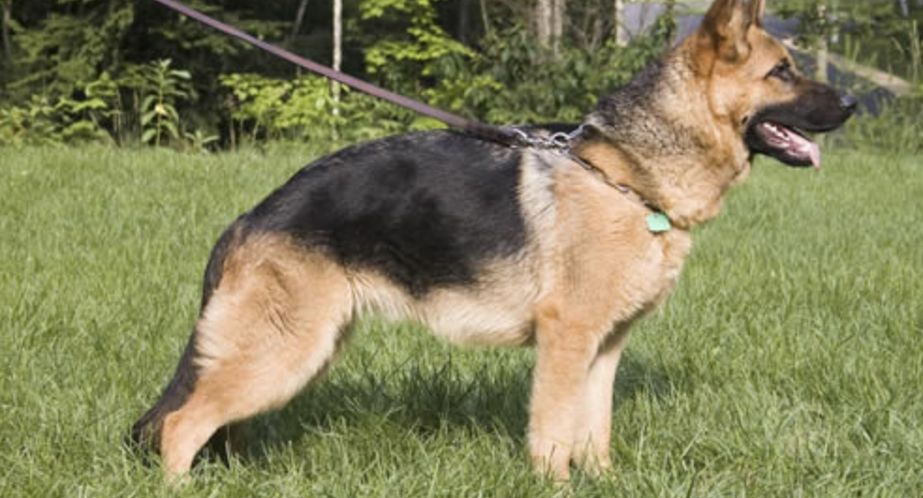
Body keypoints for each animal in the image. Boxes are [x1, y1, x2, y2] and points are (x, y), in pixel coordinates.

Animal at [131, 0, 856, 481]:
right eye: (782, 72)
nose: (850, 106)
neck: (626, 176)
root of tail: (248, 218)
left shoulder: (603, 349)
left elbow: (594, 432)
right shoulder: (565, 341)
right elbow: (554, 432)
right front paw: (556, 487)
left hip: (298, 349)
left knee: (214, 421)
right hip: (287, 352)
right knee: (179, 425)